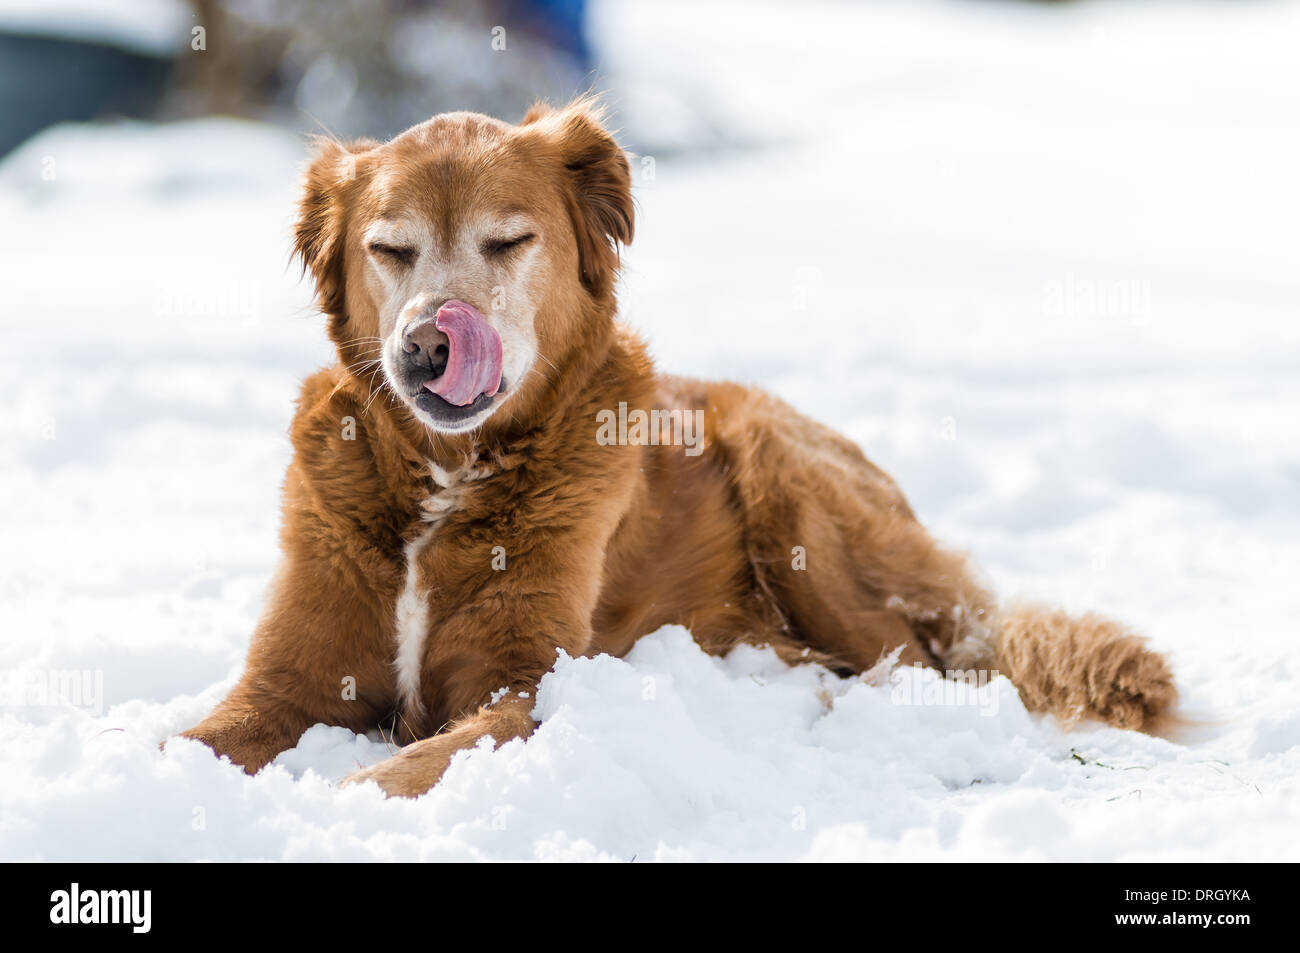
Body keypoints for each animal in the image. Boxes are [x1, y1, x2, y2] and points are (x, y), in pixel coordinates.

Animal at [175, 96, 1180, 795]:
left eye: (509, 240)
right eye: (388, 249)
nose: (428, 346)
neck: (450, 474)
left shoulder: (528, 684)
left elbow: (425, 757)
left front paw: (341, 799)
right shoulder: (287, 680)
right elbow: (191, 737)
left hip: (793, 494)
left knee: (912, 664)